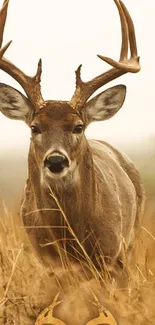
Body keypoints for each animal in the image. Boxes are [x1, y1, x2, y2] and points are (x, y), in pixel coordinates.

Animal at [0, 0, 145, 268]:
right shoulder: (48, 262)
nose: (56, 160)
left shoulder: (113, 254)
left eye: (78, 126)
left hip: (132, 235)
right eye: (35, 127)